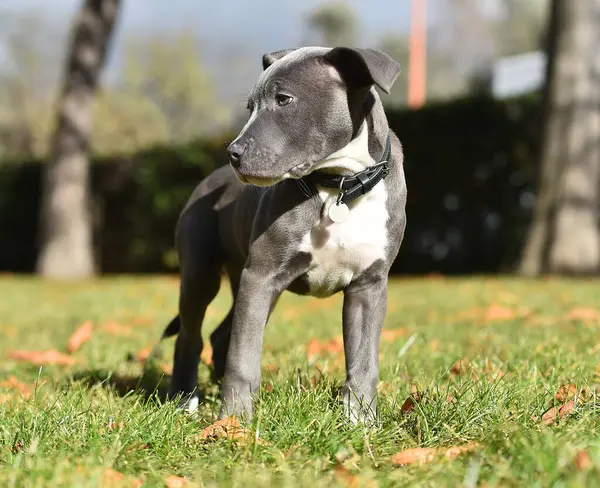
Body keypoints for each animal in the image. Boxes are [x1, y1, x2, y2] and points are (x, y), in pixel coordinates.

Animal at [162, 44, 408, 424]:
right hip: (202, 274)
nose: (233, 153)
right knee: (191, 335)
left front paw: (361, 422)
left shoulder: (369, 285)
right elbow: (243, 358)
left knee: (221, 335)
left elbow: (364, 360)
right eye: (250, 107)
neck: (339, 185)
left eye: (284, 99)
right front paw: (235, 422)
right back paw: (185, 401)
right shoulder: (262, 275)